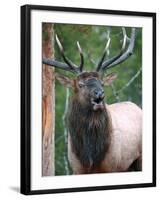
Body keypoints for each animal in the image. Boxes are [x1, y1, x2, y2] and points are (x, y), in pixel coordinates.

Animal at [42, 27, 142, 174]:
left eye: (102, 83)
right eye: (80, 84)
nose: (99, 93)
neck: (90, 157)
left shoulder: (113, 167)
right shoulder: (77, 169)